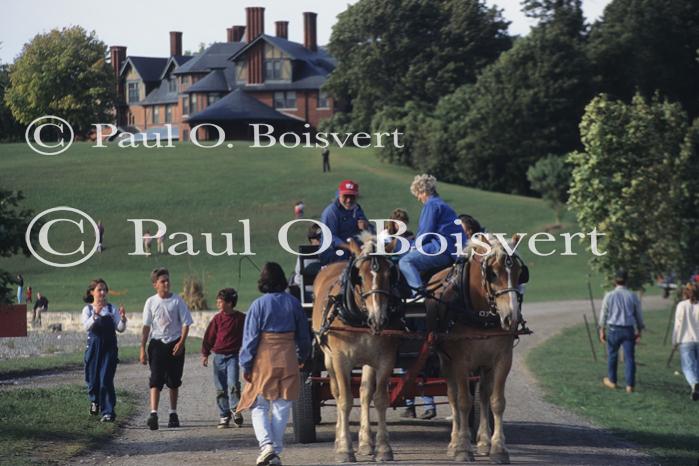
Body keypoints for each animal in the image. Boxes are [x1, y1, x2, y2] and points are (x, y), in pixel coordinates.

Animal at [312, 235, 400, 460]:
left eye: (390, 274)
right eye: (358, 276)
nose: (379, 318)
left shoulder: (386, 358)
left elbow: (379, 398)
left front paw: (383, 447)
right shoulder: (341, 359)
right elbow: (345, 400)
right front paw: (344, 448)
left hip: (368, 361)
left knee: (365, 393)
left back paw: (365, 442)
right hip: (328, 358)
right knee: (336, 392)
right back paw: (338, 439)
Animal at [426, 235, 532, 464]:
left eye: (520, 273)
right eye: (492, 273)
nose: (512, 318)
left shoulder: (503, 359)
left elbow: (497, 401)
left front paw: (498, 448)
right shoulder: (459, 361)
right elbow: (463, 402)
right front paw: (463, 447)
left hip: (484, 364)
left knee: (483, 394)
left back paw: (483, 441)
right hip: (446, 361)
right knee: (453, 396)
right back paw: (454, 442)